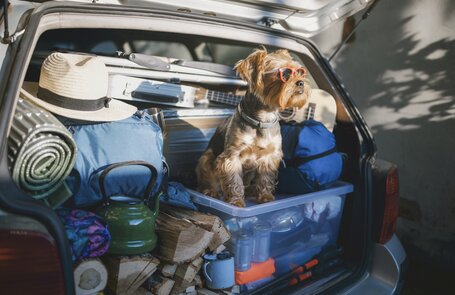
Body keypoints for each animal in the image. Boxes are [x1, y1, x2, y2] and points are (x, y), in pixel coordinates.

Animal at [195, 47, 310, 207]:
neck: (263, 119)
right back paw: (211, 190)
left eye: (300, 72)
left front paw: (265, 196)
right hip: (206, 158)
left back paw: (251, 190)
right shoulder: (232, 156)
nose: (301, 83)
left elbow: (265, 178)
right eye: (284, 74)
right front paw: (236, 201)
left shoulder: (270, 156)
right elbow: (234, 180)